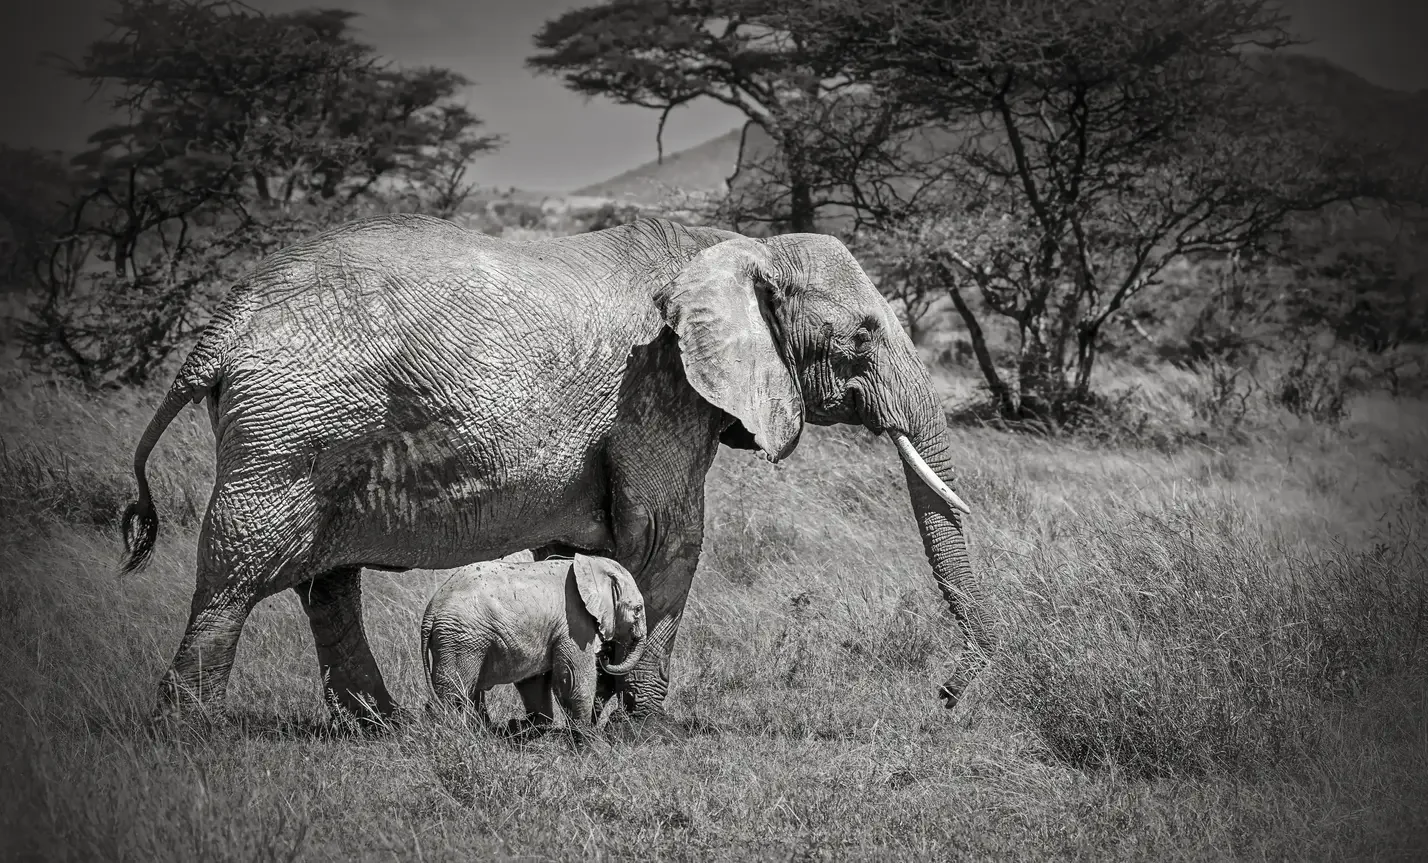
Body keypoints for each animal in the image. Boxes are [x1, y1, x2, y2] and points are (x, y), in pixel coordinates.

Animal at [421, 552, 652, 744]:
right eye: (638, 609)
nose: (605, 654)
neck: (592, 563)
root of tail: (430, 611)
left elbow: (535, 681)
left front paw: (533, 729)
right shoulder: (574, 624)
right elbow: (573, 678)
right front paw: (588, 742)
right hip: (461, 639)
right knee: (455, 693)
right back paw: (456, 735)